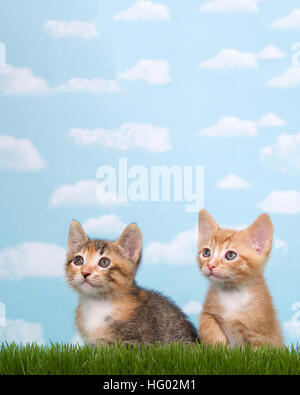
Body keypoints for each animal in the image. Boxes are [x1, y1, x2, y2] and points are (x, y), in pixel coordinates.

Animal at [197, 210, 284, 350]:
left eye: (230, 255)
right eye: (206, 252)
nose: (210, 265)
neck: (233, 293)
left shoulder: (262, 334)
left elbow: (258, 351)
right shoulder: (207, 313)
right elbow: (208, 328)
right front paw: (219, 348)